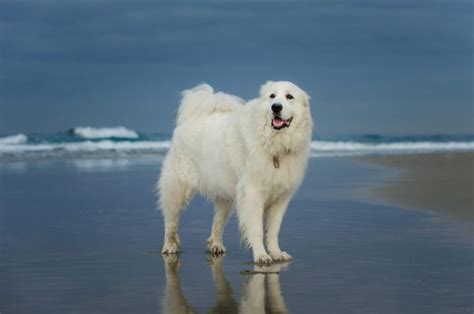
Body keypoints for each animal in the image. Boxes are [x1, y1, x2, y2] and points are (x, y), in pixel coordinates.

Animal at [158, 80, 314, 262]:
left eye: (289, 97)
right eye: (272, 96)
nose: (276, 107)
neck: (274, 145)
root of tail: (191, 119)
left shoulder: (281, 198)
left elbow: (273, 231)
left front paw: (276, 253)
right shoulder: (253, 194)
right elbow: (256, 229)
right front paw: (261, 255)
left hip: (224, 195)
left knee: (218, 222)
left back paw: (216, 245)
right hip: (177, 189)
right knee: (171, 221)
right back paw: (169, 246)